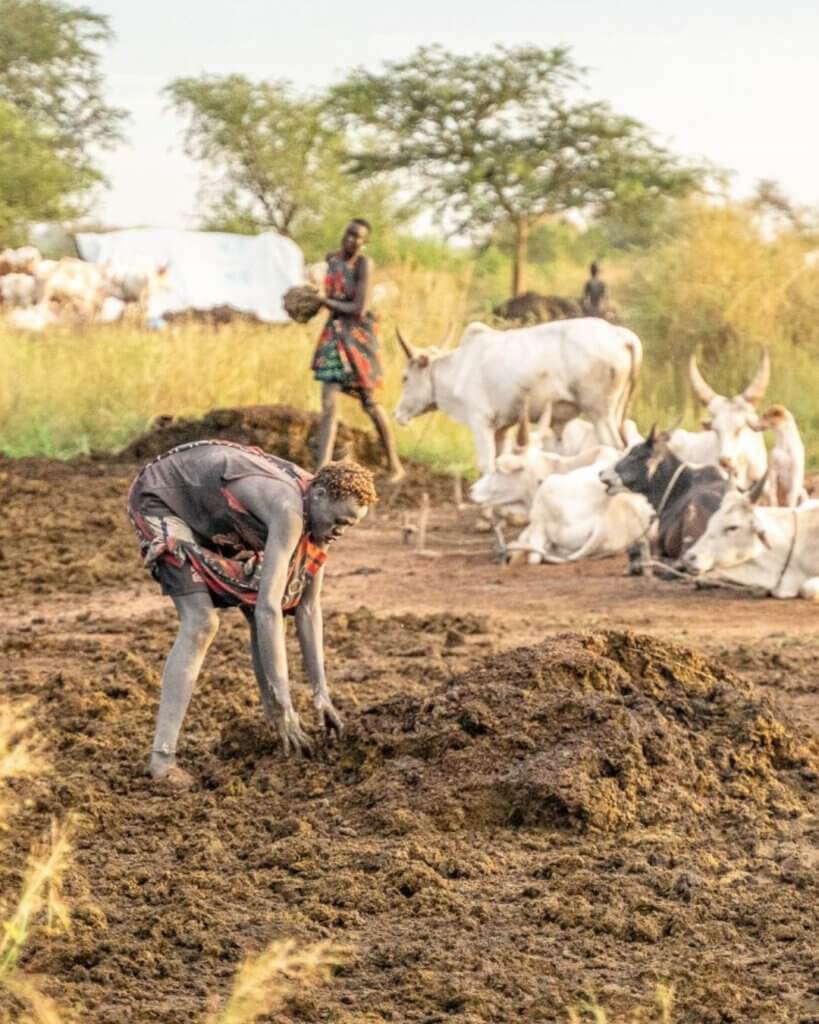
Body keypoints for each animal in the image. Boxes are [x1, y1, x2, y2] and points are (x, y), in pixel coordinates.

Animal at [393, 317, 642, 473]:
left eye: (404, 377)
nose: (397, 415)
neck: (459, 367)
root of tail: (621, 336)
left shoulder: (480, 421)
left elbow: (486, 465)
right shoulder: (501, 427)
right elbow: (499, 461)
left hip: (600, 414)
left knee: (616, 448)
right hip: (616, 412)